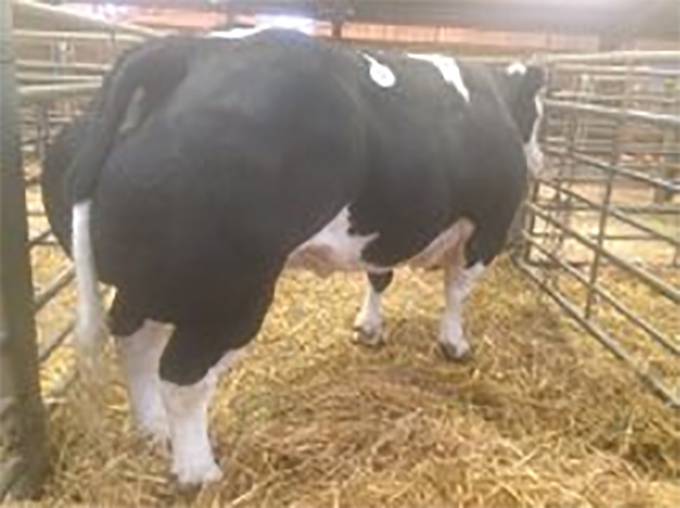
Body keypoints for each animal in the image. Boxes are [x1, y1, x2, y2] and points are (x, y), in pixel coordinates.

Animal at [41, 29, 545, 485]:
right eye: (538, 114)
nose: (539, 160)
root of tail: (183, 50)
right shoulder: (490, 225)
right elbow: (457, 290)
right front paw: (454, 344)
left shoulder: (390, 224)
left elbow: (379, 278)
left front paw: (370, 328)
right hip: (229, 292)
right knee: (183, 376)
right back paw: (199, 472)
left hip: (155, 283)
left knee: (133, 341)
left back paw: (153, 430)